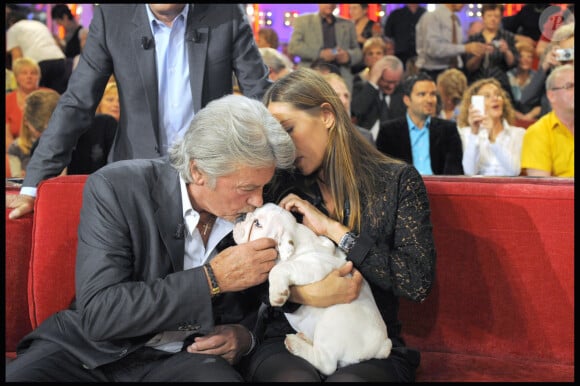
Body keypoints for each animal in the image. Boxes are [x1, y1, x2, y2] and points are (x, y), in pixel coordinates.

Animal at [233, 204, 392, 376]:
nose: (242, 216)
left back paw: (295, 344)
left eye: (258, 224)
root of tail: (380, 347)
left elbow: (280, 269)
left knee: (326, 364)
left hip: (330, 325)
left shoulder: (313, 265)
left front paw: (277, 294)